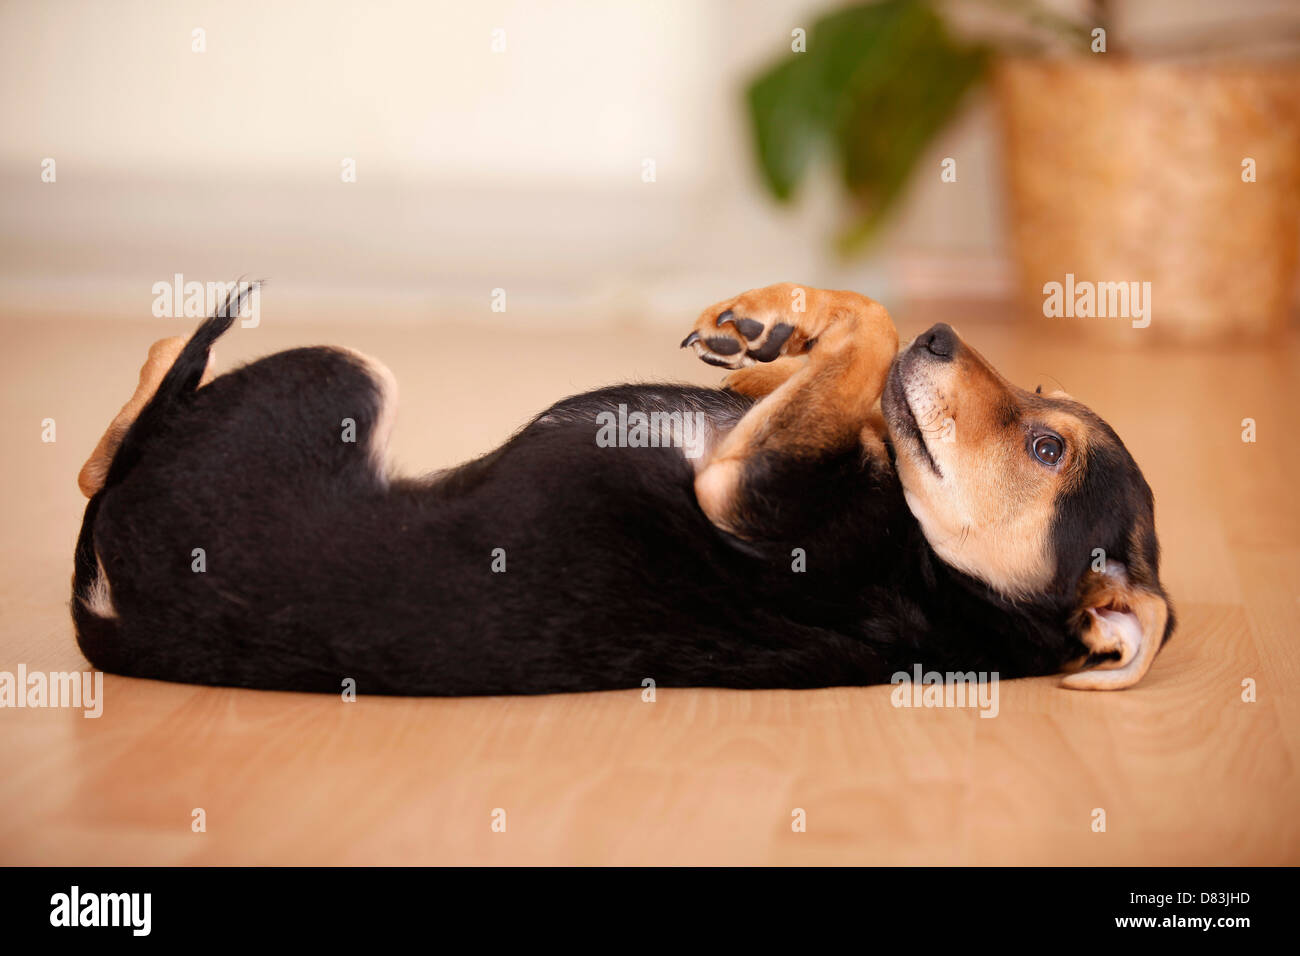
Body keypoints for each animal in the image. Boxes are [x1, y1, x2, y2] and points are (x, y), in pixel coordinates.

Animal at [71, 283, 1180, 697]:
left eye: (1046, 446)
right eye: (1042, 398)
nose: (943, 337)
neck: (946, 577)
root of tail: (122, 618)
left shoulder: (743, 491)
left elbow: (870, 328)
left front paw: (802, 326)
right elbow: (847, 352)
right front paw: (770, 324)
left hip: (339, 378)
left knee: (116, 440)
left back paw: (166, 355)